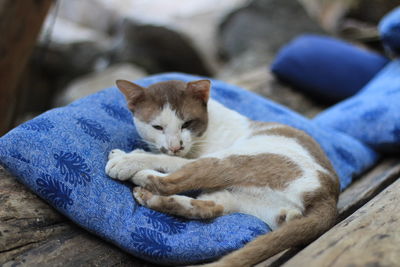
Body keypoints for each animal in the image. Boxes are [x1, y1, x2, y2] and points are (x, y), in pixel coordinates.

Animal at [104, 78, 340, 266]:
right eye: (157, 127)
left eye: (186, 123)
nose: (175, 146)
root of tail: (328, 194)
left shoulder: (195, 155)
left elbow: (170, 161)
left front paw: (128, 159)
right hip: (242, 201)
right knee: (207, 208)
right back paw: (147, 196)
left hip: (234, 159)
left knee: (173, 181)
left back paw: (134, 171)